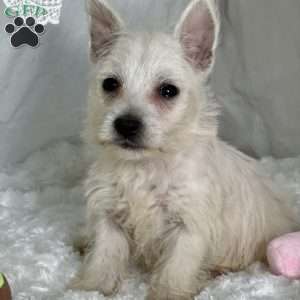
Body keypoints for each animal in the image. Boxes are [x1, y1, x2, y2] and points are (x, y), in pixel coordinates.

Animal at [69, 1, 298, 298]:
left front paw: (167, 293)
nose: (126, 125)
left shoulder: (189, 225)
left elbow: (176, 267)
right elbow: (104, 255)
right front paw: (91, 287)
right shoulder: (109, 213)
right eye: (110, 84)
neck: (146, 165)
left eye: (168, 91)